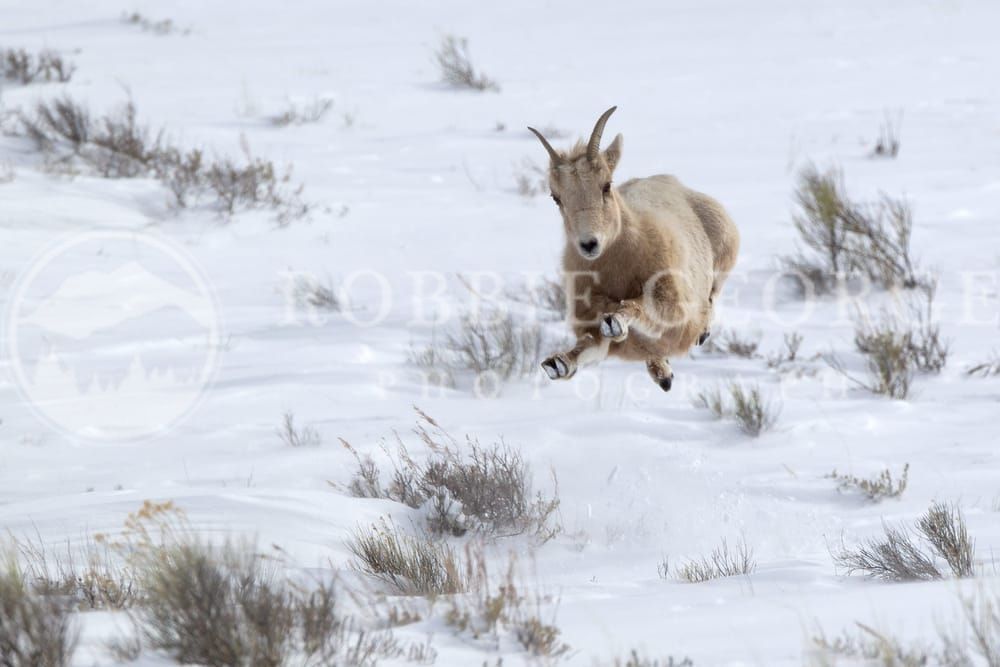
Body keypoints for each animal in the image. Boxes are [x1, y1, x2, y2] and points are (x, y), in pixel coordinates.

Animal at [528, 106, 739, 391]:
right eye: (556, 197)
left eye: (606, 185)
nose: (589, 244)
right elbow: (589, 346)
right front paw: (558, 363)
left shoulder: (671, 306)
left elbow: (638, 308)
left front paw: (615, 322)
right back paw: (662, 374)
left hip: (723, 260)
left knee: (712, 295)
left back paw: (698, 337)